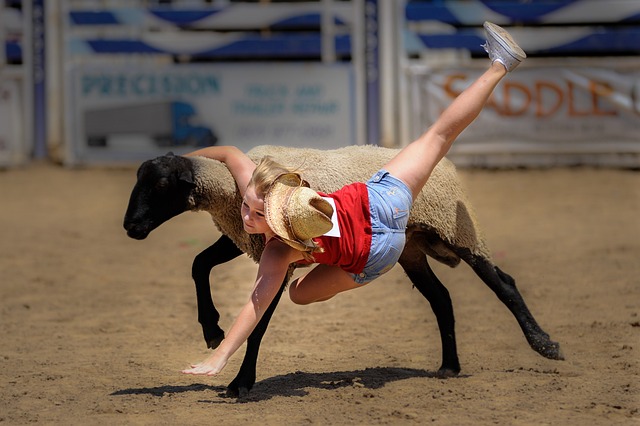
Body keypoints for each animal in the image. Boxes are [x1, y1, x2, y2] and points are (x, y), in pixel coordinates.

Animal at [122, 145, 564, 398]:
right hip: (412, 248)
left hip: (458, 230)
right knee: (441, 298)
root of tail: (447, 166)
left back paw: (544, 344)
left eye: (160, 186)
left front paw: (240, 383)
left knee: (503, 283)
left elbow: (259, 323)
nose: (131, 227)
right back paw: (449, 366)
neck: (230, 191)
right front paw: (212, 330)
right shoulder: (247, 237)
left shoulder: (277, 252)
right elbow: (199, 264)